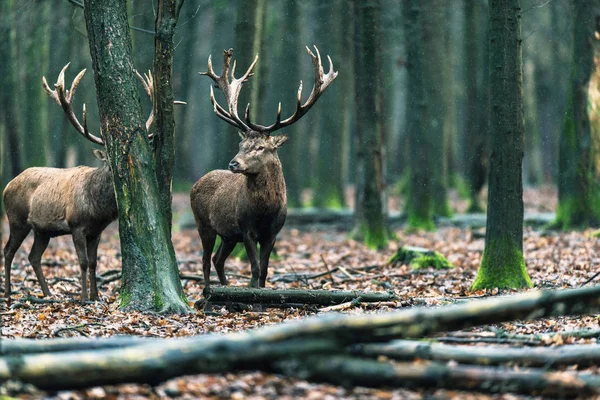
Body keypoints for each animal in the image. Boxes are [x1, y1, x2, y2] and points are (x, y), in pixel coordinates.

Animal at [2, 63, 156, 300]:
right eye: (108, 161)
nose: (119, 172)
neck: (97, 209)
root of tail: (7, 186)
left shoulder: (97, 231)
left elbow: (93, 263)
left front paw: (95, 296)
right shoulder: (76, 224)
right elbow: (82, 262)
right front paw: (83, 297)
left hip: (42, 230)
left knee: (33, 256)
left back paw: (47, 293)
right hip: (16, 219)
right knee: (8, 250)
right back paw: (9, 292)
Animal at [192, 47, 338, 288]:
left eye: (261, 147)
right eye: (241, 145)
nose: (233, 163)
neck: (264, 211)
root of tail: (195, 183)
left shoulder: (273, 233)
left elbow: (265, 270)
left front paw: (261, 289)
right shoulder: (246, 229)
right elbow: (255, 267)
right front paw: (252, 290)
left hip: (228, 235)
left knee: (217, 259)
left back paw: (225, 286)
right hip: (203, 224)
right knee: (205, 259)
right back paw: (207, 290)